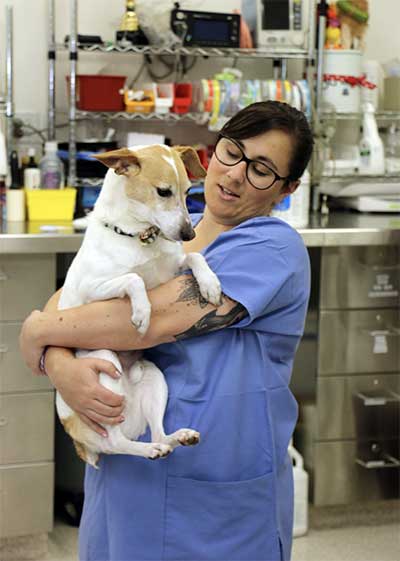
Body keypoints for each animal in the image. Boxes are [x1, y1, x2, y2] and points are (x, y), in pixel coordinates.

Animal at [55, 142, 222, 466]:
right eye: (163, 192)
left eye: (188, 192)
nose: (189, 234)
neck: (140, 237)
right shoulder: (93, 290)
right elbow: (134, 279)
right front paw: (142, 313)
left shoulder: (171, 271)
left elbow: (195, 257)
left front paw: (209, 283)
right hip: (105, 361)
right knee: (116, 442)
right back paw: (148, 450)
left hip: (153, 377)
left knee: (158, 432)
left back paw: (176, 439)